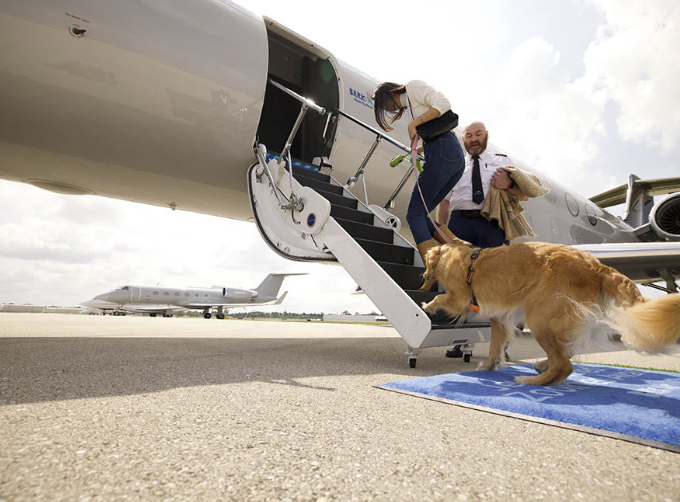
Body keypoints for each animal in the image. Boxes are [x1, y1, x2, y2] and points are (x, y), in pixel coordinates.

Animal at [420, 239, 680, 384]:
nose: (423, 275)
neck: (456, 257)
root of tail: (597, 265)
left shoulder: (460, 298)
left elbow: (441, 297)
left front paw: (428, 305)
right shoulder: (500, 317)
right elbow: (496, 345)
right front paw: (489, 365)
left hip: (540, 317)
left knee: (564, 365)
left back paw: (532, 380)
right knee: (568, 352)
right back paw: (542, 367)